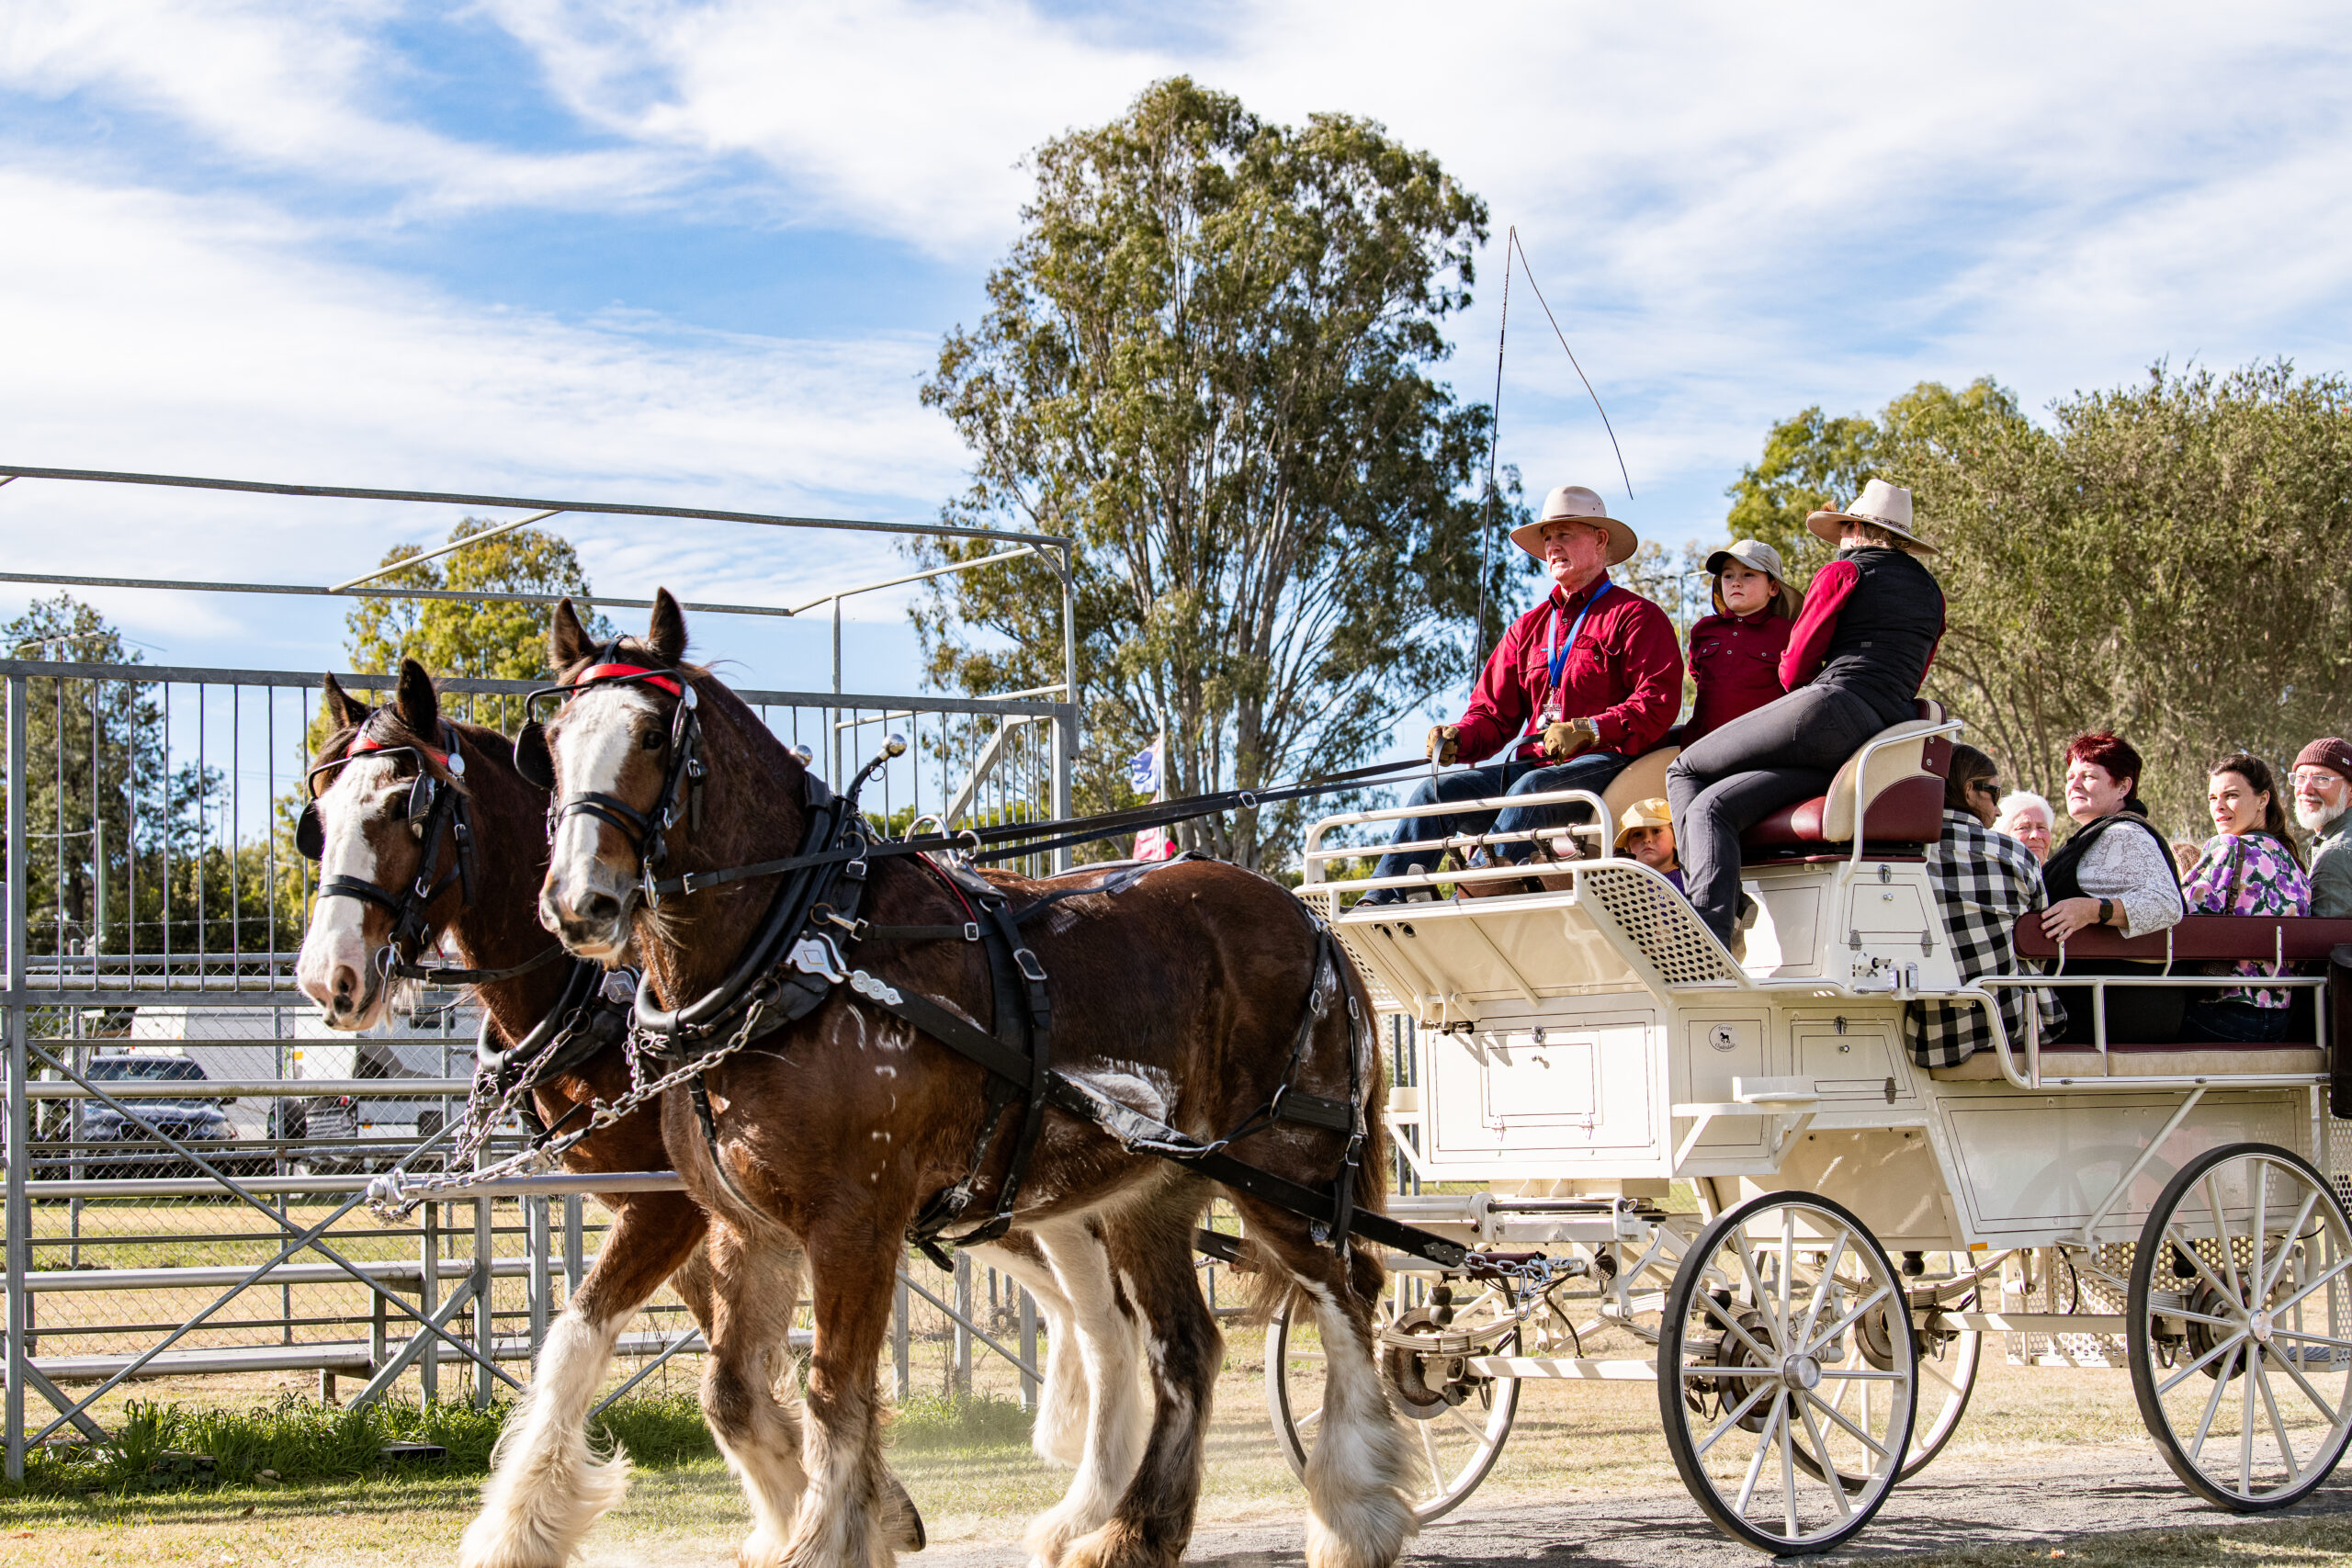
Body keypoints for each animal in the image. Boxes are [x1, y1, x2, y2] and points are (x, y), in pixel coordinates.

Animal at [530, 591, 1414, 1568]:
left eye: (653, 735)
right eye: (555, 738)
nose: (578, 902)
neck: (799, 945)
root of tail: (1308, 915)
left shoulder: (856, 1222)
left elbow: (834, 1393)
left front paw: (828, 1538)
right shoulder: (745, 1229)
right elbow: (732, 1392)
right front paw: (856, 1519)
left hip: (1289, 1173)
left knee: (1348, 1298)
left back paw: (1353, 1514)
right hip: (1152, 1193)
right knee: (1186, 1349)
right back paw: (1134, 1528)